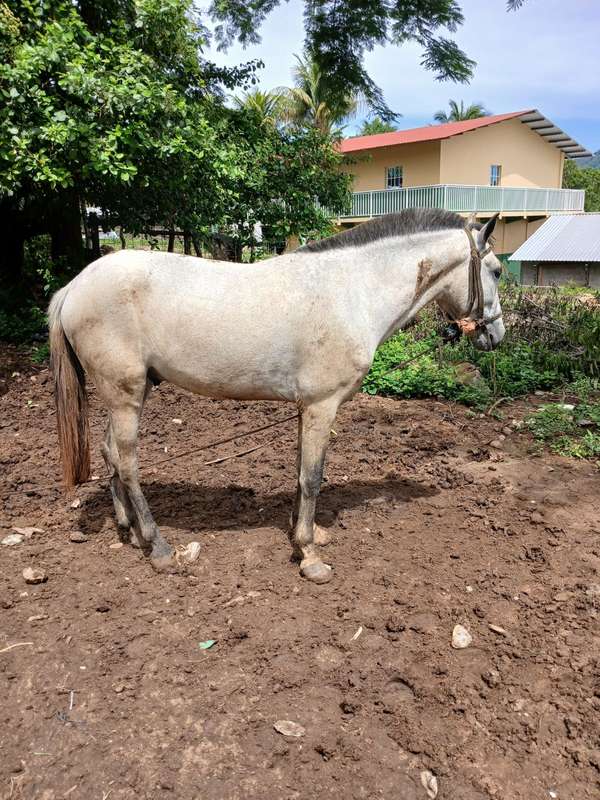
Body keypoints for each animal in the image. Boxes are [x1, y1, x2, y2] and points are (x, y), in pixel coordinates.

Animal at [49, 208, 504, 584]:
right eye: (498, 271)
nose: (496, 335)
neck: (350, 290)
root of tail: (74, 287)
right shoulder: (322, 406)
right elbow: (313, 477)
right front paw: (309, 556)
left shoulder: (307, 408)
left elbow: (300, 471)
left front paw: (304, 532)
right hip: (125, 395)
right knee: (126, 462)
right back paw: (158, 547)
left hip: (126, 393)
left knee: (109, 452)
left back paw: (127, 528)